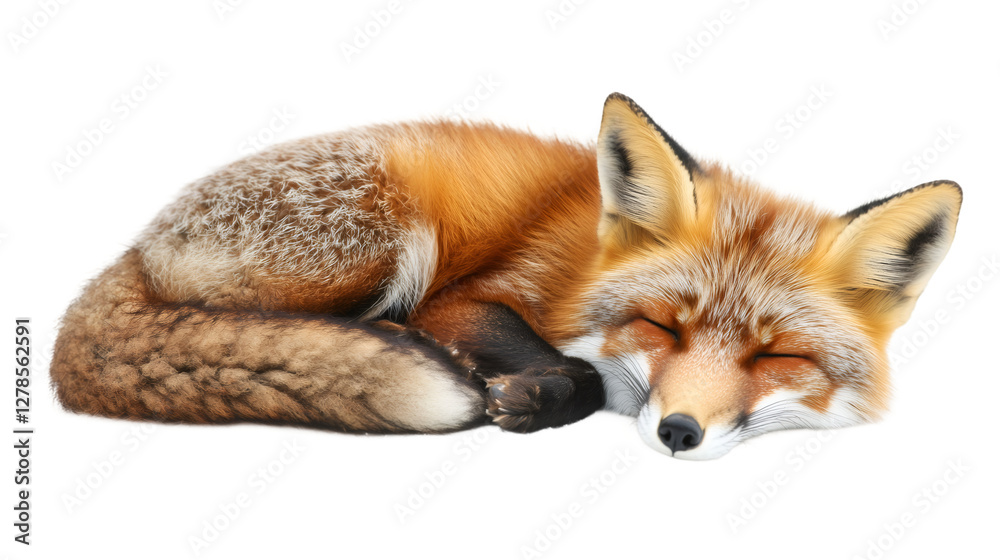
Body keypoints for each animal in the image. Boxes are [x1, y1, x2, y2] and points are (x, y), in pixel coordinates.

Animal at [50, 93, 962, 460]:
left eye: (776, 358)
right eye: (662, 327)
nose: (680, 434)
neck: (584, 264)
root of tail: (137, 243)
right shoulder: (464, 298)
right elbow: (576, 374)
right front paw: (533, 392)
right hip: (383, 237)